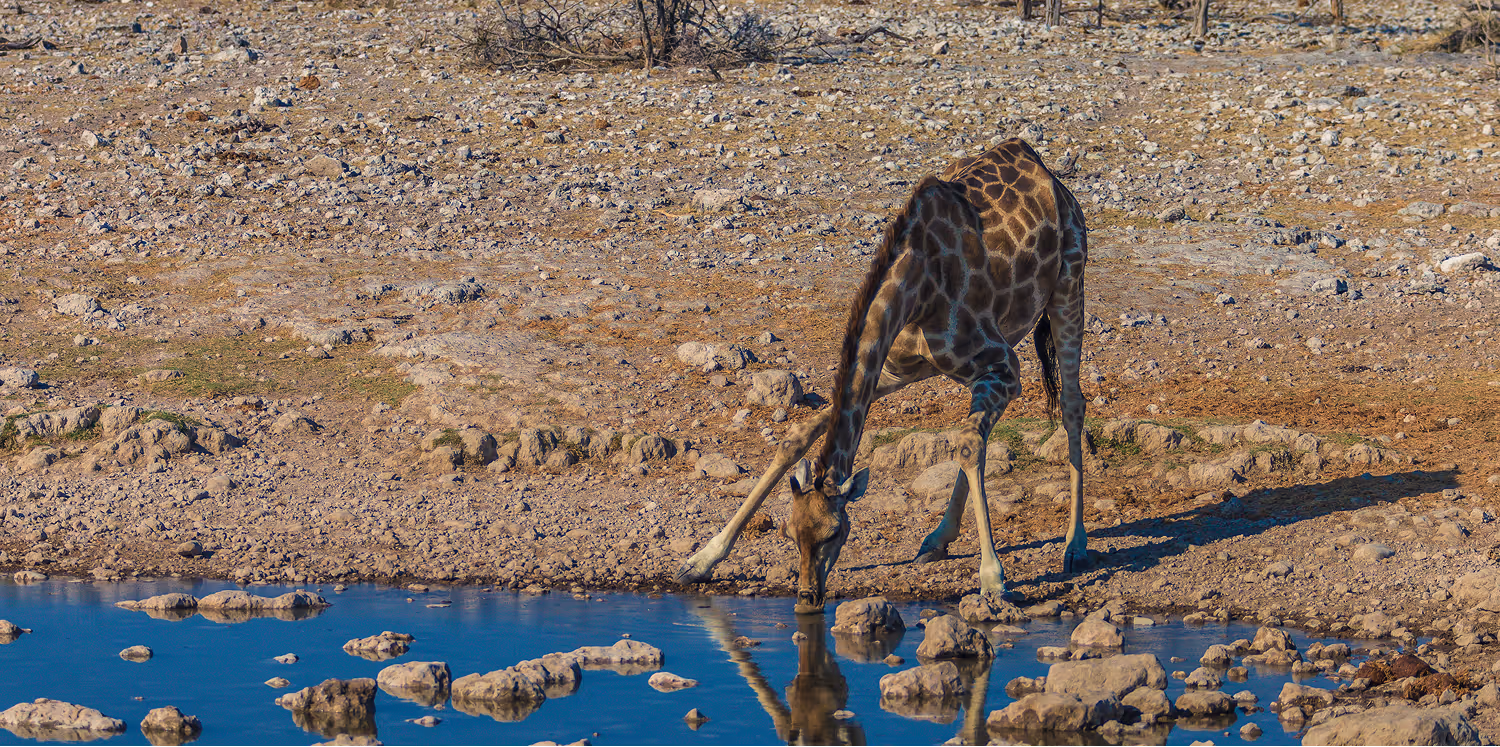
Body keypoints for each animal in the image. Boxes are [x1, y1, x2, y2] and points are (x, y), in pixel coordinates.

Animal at [675, 139, 1089, 613]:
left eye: (835, 533)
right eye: (789, 532)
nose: (807, 597)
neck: (917, 288)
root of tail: (1046, 171)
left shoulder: (1003, 366)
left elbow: (968, 445)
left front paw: (993, 581)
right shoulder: (893, 370)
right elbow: (797, 436)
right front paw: (701, 560)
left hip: (1069, 286)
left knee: (1070, 405)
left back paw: (1075, 546)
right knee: (980, 434)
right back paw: (936, 540)